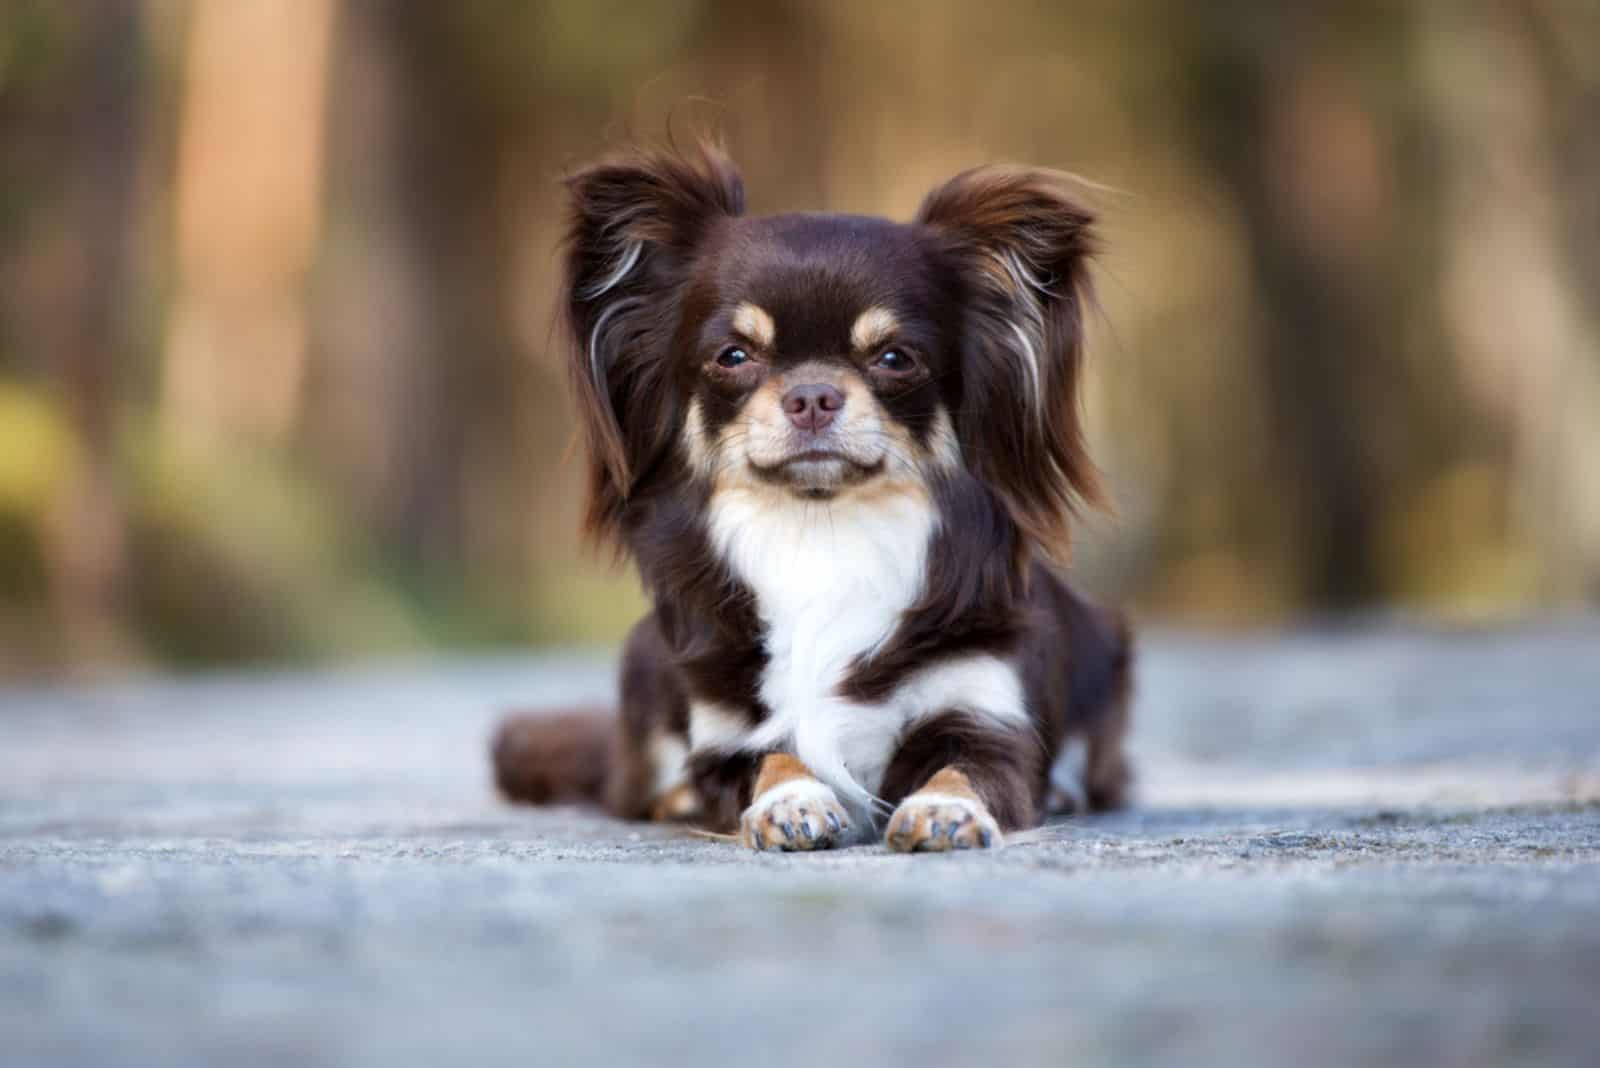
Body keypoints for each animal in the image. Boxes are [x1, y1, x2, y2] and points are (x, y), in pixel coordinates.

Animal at [492, 141, 1132, 850]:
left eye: (895, 358)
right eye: (734, 355)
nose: (812, 395)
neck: (820, 532)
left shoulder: (983, 714)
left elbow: (964, 770)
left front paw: (945, 810)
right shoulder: (729, 734)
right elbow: (771, 759)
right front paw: (790, 801)